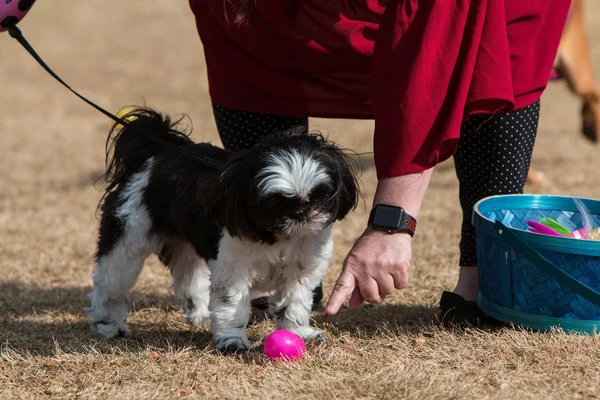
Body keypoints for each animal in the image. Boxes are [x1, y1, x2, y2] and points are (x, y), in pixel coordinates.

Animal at [86, 108, 358, 354]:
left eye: (321, 195)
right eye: (273, 203)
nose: (300, 211)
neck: (280, 238)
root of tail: (157, 152)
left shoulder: (302, 271)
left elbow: (294, 304)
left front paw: (298, 333)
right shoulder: (233, 271)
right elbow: (232, 306)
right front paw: (232, 341)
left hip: (185, 244)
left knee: (189, 277)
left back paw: (199, 314)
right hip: (128, 237)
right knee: (110, 282)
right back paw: (109, 325)